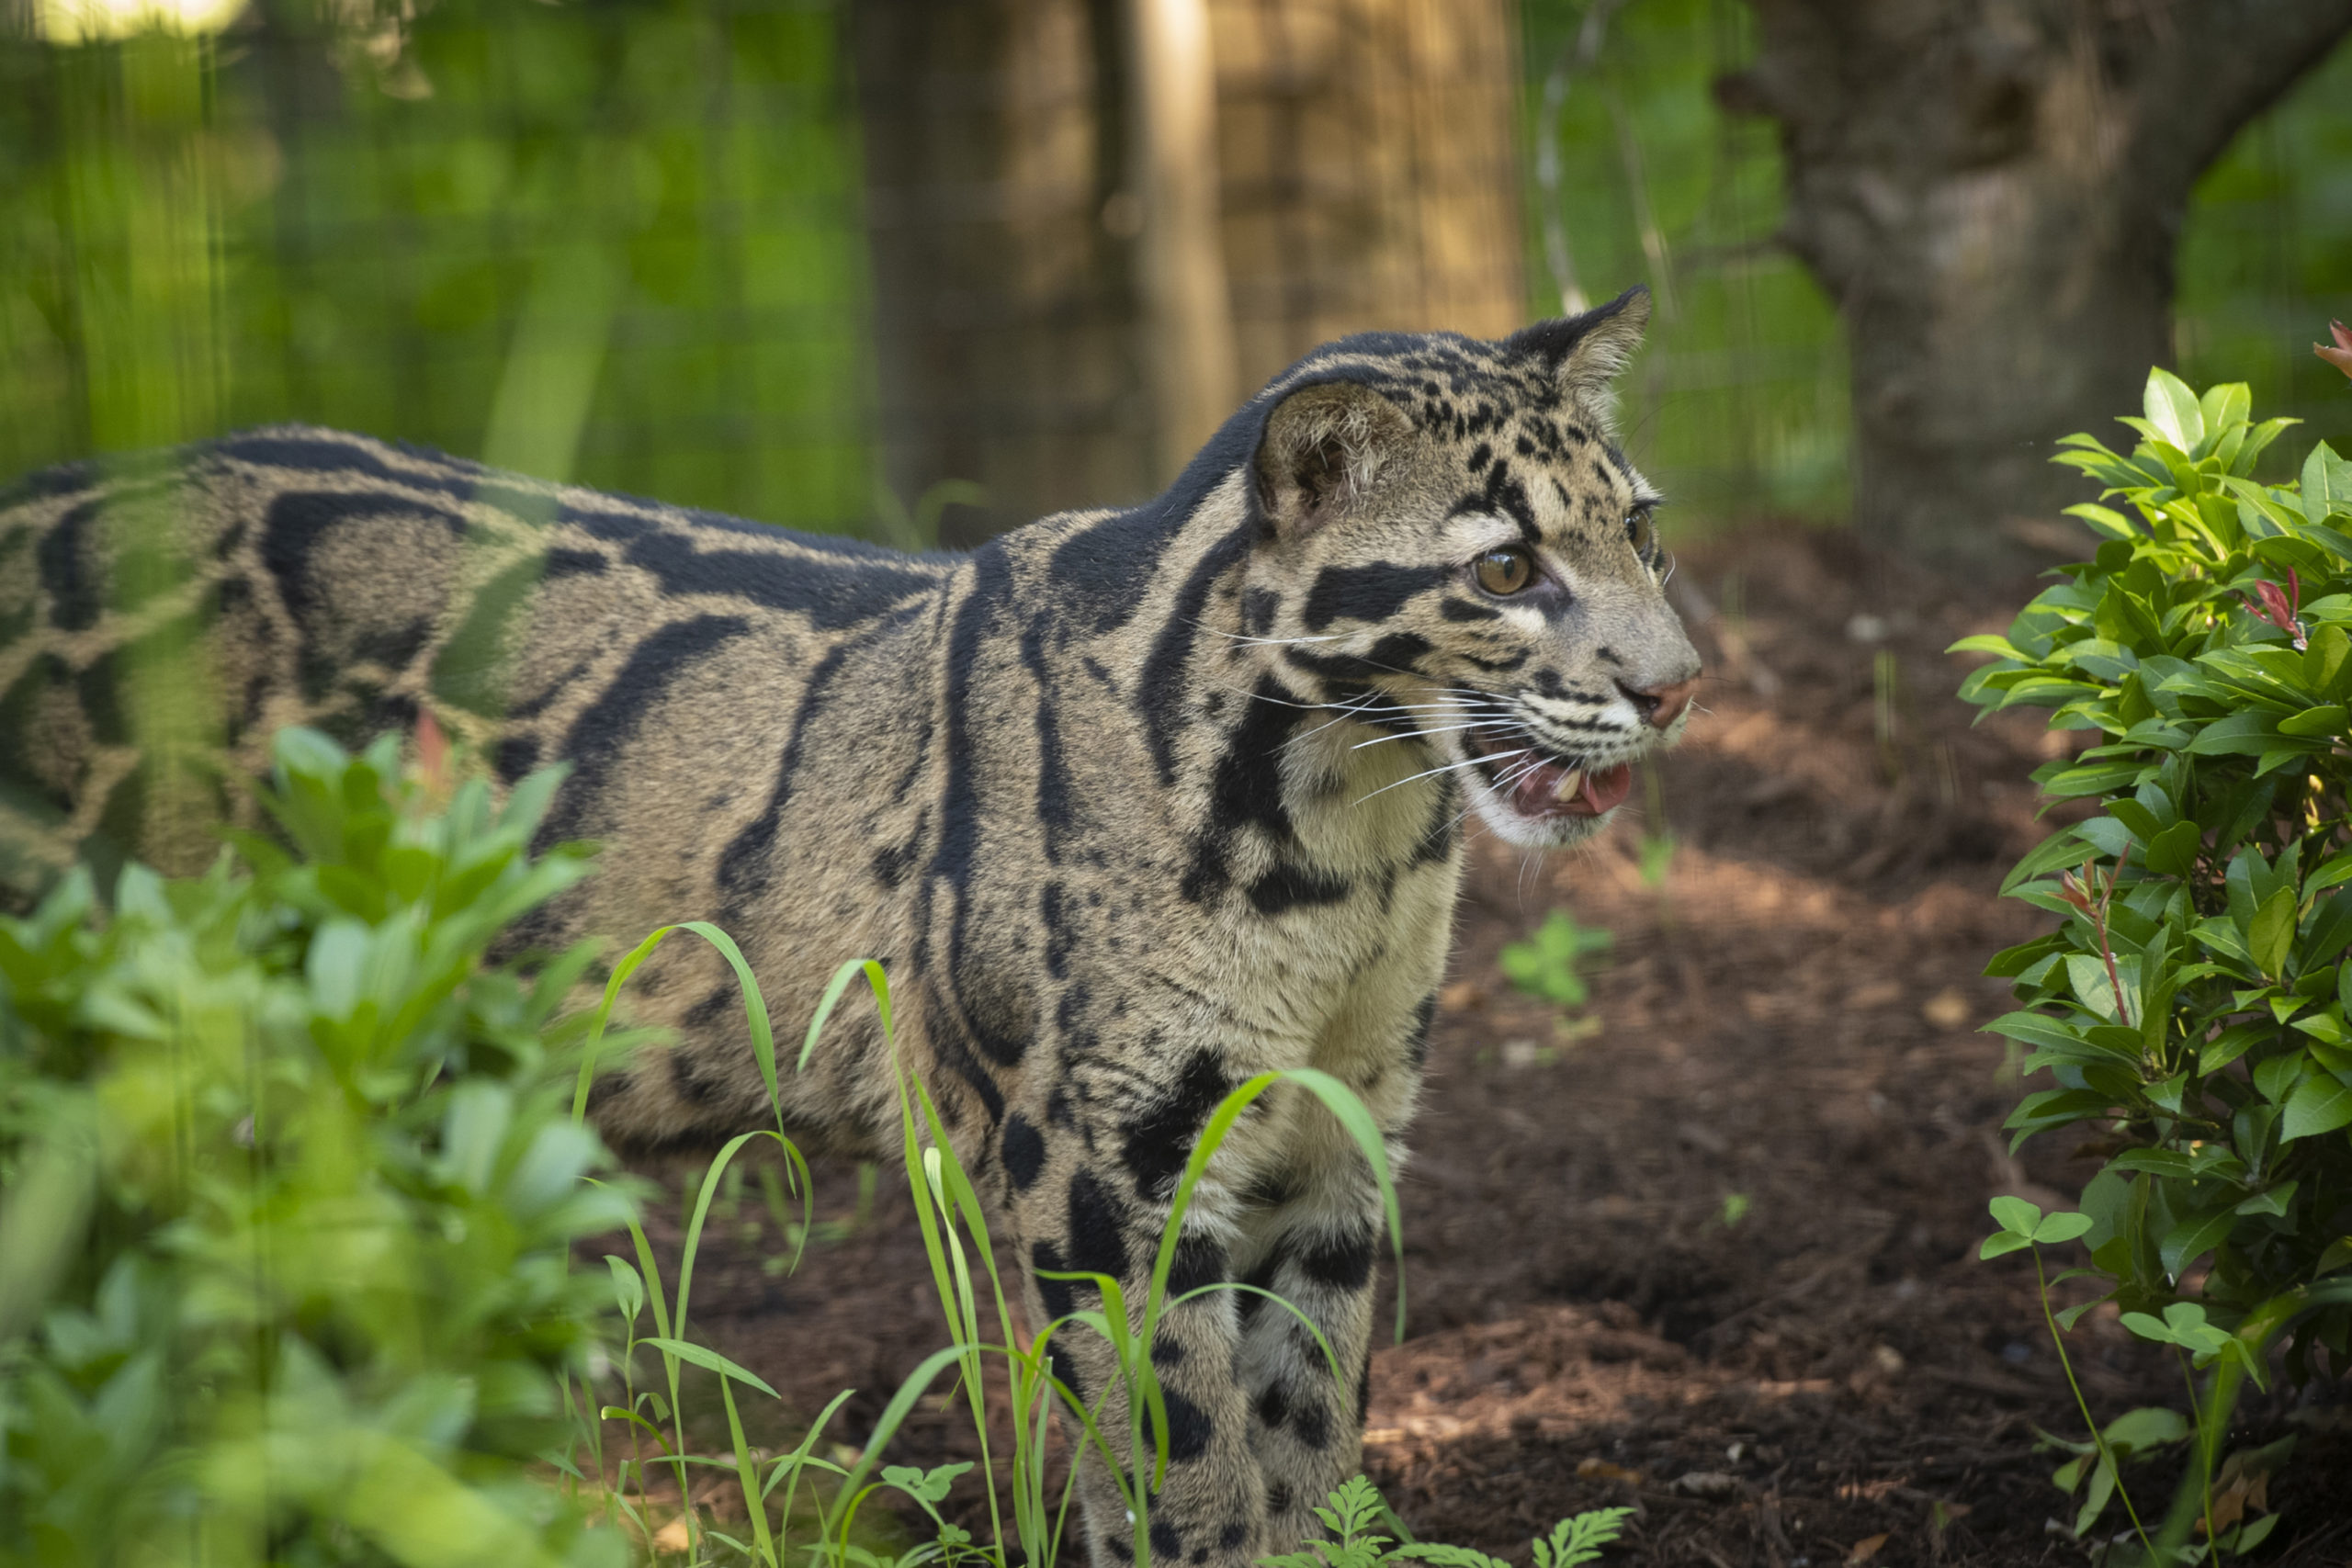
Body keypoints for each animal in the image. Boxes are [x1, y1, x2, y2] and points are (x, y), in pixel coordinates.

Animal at [0, 288, 1693, 1561]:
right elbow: (1185, 1457)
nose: (1678, 685)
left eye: (1647, 533)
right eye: (1504, 564)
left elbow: (1305, 1435)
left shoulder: (1337, 1144)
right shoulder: (1101, 1173)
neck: (1349, 844)